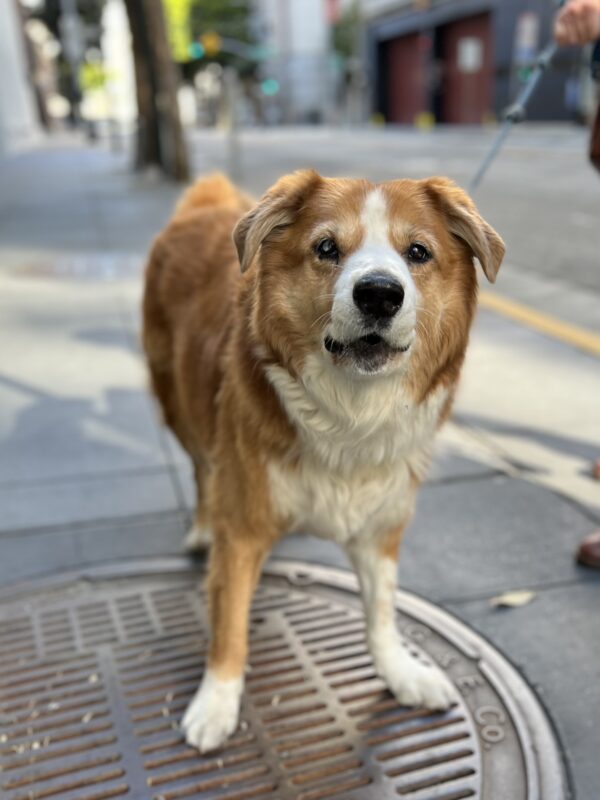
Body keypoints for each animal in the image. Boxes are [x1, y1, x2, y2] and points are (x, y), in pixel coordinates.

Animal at [143, 172, 504, 752]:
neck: (350, 414)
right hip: (178, 404)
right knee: (201, 468)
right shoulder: (241, 528)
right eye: (327, 248)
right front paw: (217, 700)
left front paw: (399, 672)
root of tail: (208, 200)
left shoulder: (380, 528)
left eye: (418, 252)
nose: (379, 293)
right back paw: (200, 527)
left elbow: (381, 613)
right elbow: (230, 624)